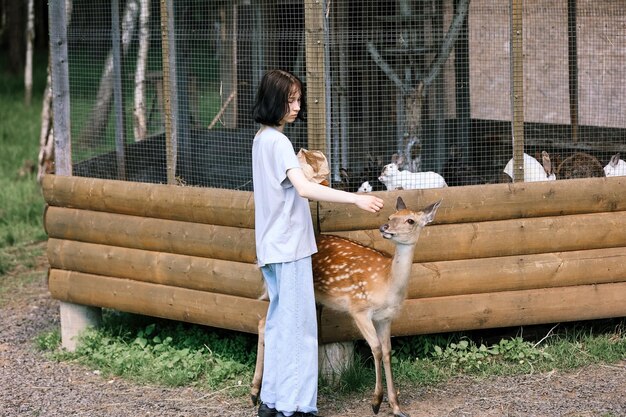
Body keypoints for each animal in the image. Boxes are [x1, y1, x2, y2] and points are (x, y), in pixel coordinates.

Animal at [251, 196, 442, 416]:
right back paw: (256, 392)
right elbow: (376, 348)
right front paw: (376, 402)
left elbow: (387, 351)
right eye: (390, 216)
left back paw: (259, 394)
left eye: (410, 220)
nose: (384, 227)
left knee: (265, 323)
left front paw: (396, 407)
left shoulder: (385, 318)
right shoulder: (358, 309)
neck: (387, 284)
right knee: (264, 323)